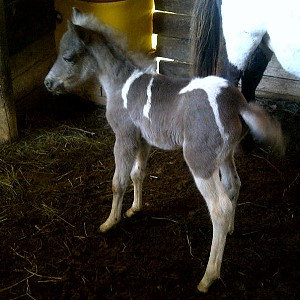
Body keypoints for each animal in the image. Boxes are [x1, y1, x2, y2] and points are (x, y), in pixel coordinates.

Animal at [44, 8, 284, 292]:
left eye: (68, 57)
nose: (48, 83)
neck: (121, 83)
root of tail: (236, 102)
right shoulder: (143, 140)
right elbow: (137, 174)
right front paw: (135, 209)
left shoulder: (124, 137)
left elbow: (118, 182)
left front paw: (110, 222)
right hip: (225, 155)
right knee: (233, 185)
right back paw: (231, 230)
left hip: (200, 162)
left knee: (219, 208)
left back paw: (208, 276)